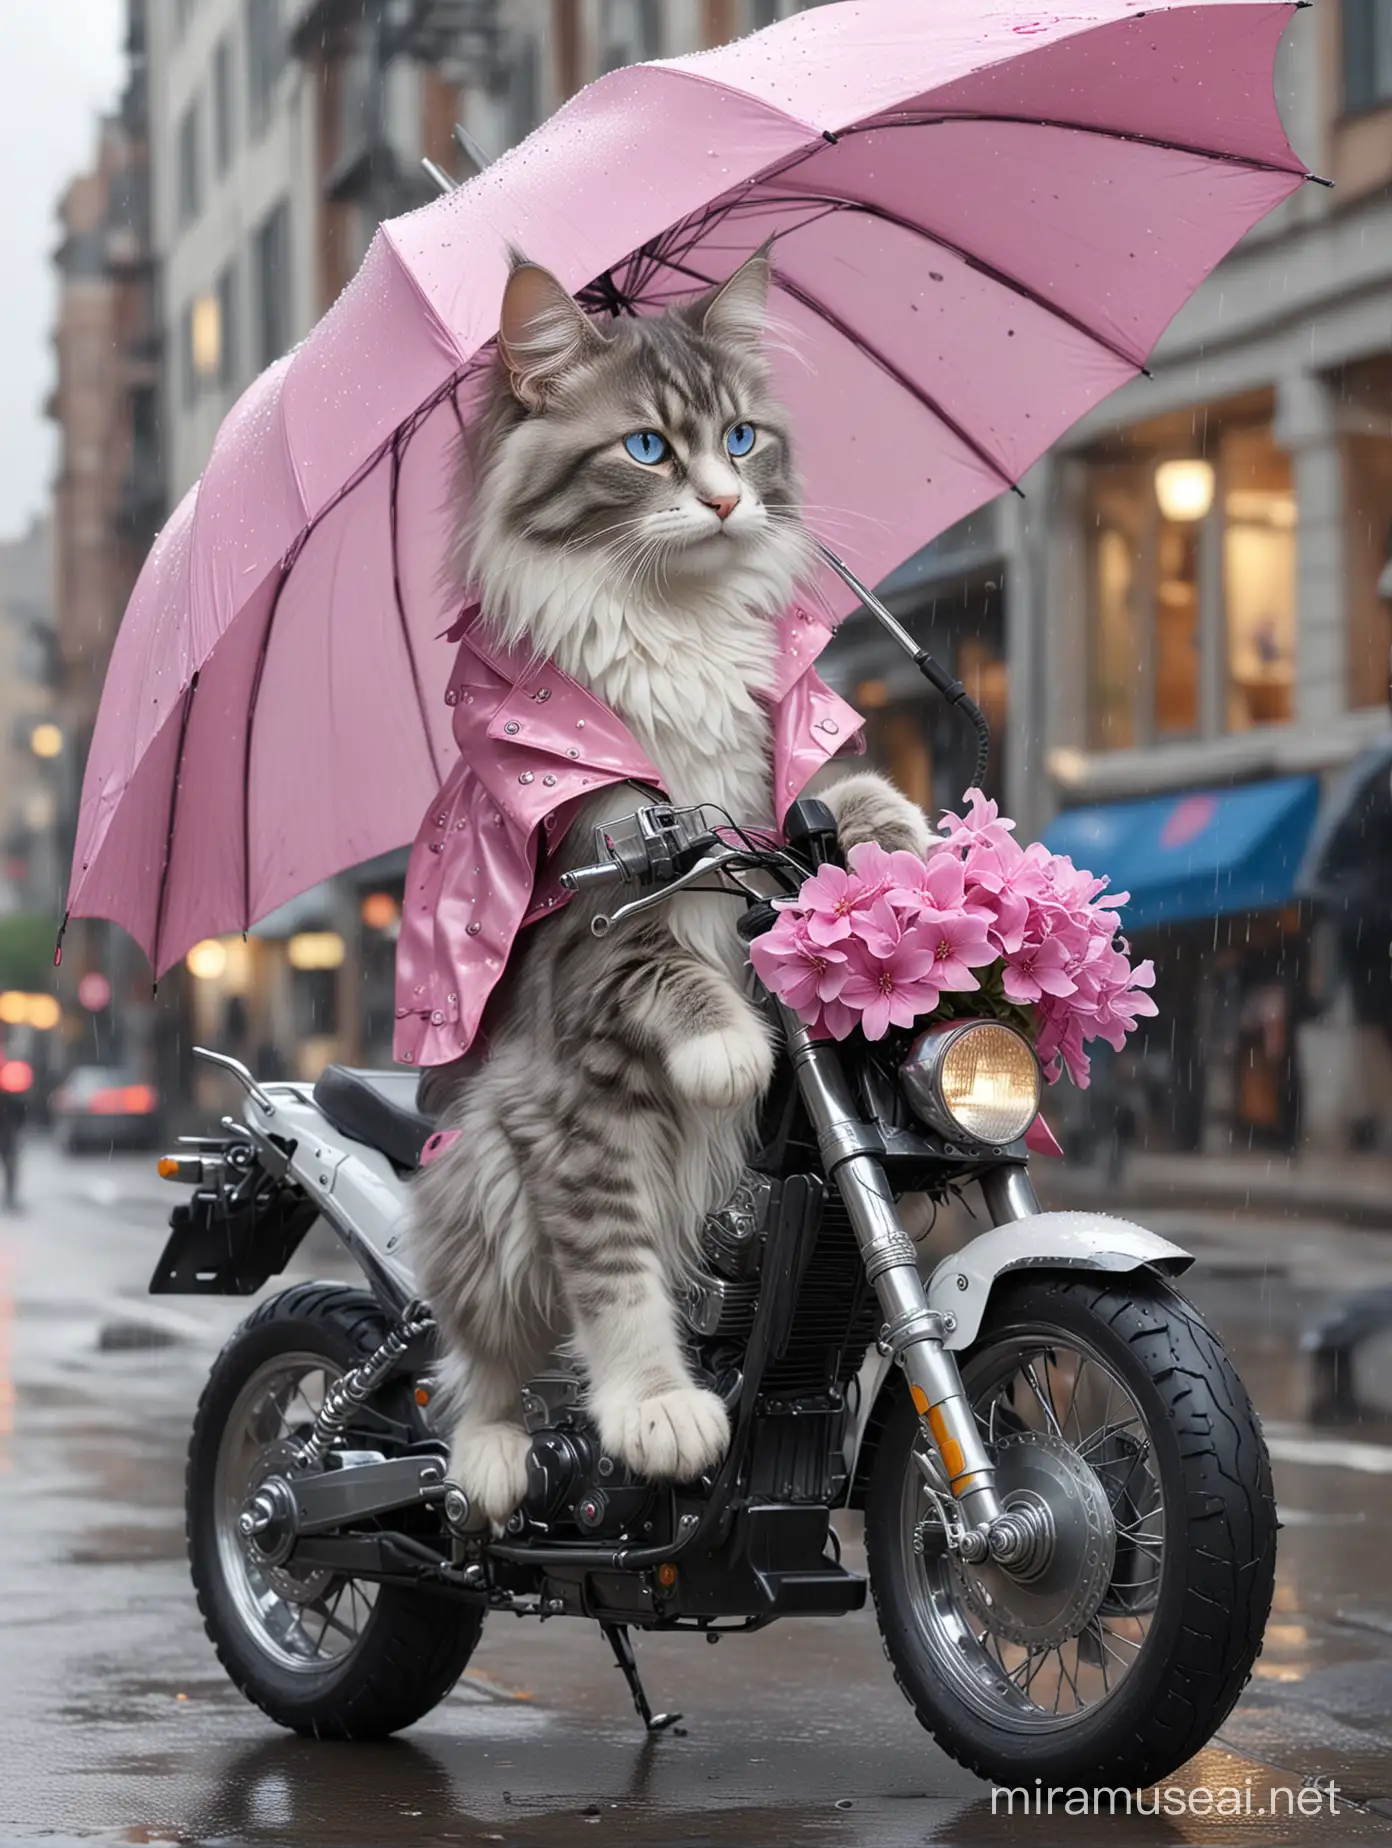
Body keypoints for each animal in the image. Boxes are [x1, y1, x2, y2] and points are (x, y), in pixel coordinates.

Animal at [415, 249, 935, 1515]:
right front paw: (657, 1412)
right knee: (476, 1360)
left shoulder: (764, 792)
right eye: (647, 448)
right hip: (495, 1173)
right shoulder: (594, 924)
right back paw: (488, 1465)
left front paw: (895, 830)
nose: (725, 502)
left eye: (741, 438)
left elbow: (818, 800)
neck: (671, 612)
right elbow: (616, 1271)